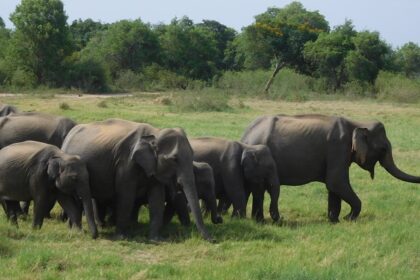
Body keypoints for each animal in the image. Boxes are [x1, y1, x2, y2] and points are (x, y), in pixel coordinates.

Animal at [61, 118, 213, 241]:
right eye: (174, 159)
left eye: (193, 154)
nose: (213, 240)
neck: (155, 133)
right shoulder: (126, 163)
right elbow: (126, 195)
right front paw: (122, 237)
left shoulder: (153, 167)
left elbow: (157, 198)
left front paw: (156, 239)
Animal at [241, 114, 420, 223]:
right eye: (383, 149)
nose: (345, 218)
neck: (357, 123)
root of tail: (246, 133)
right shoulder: (338, 147)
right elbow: (336, 182)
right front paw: (348, 219)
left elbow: (333, 187)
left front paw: (334, 220)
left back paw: (257, 220)